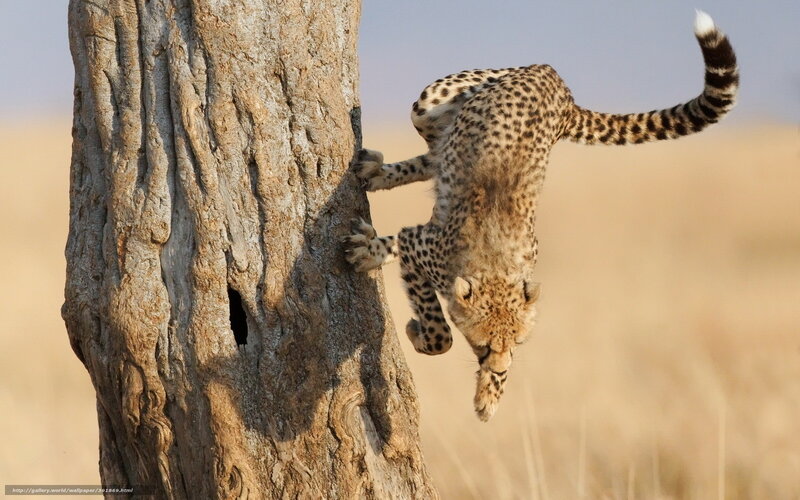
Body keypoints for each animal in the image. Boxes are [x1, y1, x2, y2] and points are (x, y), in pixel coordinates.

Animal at [343, 11, 738, 421]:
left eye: (516, 342)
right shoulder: (421, 246)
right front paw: (417, 327)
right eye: (484, 345)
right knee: (434, 150)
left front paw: (489, 396)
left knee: (436, 156)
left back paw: (377, 178)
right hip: (432, 98)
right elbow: (440, 332)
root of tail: (558, 83)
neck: (496, 266)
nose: (500, 367)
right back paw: (377, 181)